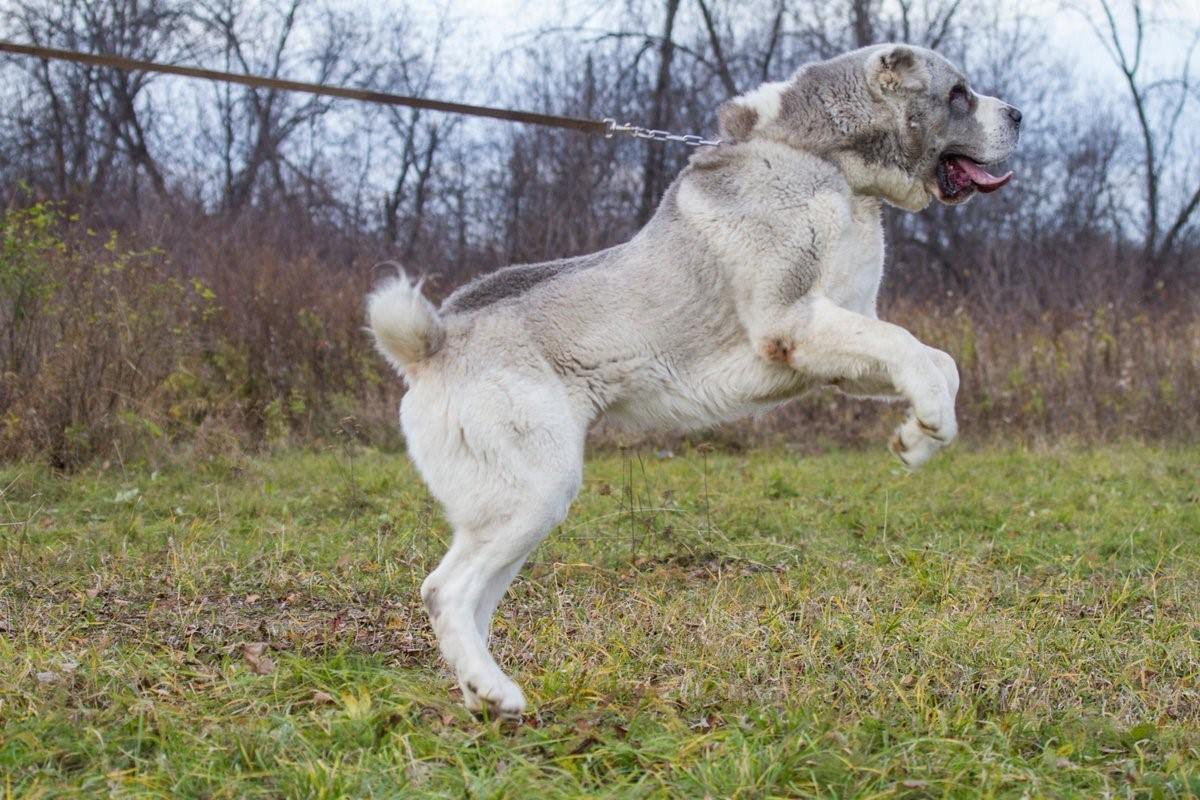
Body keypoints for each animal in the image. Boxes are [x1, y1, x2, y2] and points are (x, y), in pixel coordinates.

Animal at [367, 43, 1022, 719]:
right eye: (958, 95)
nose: (1019, 115)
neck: (824, 162)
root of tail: (434, 343)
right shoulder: (792, 323)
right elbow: (909, 347)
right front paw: (931, 422)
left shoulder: (837, 341)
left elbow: (935, 360)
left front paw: (917, 436)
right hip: (535, 490)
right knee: (445, 590)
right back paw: (493, 688)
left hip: (517, 509)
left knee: (467, 599)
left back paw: (483, 694)